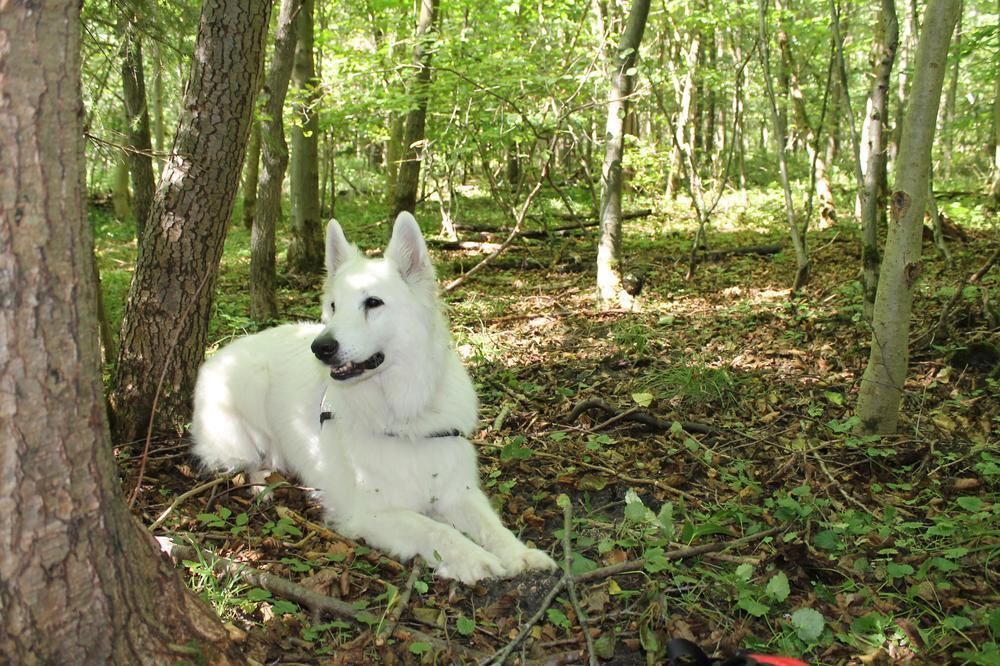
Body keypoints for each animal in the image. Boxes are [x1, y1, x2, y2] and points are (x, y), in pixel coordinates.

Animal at [191, 213, 560, 580]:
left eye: (372, 303)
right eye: (334, 306)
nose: (320, 348)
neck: (405, 413)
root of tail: (218, 353)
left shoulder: (459, 492)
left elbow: (492, 526)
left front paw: (521, 554)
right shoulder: (373, 515)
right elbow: (437, 530)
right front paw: (476, 560)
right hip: (248, 400)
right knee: (245, 461)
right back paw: (262, 482)